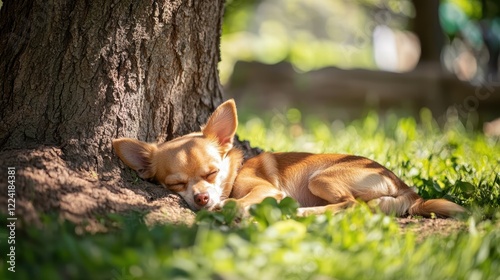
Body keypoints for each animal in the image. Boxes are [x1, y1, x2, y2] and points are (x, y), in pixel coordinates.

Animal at [112, 99, 464, 218]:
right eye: (176, 184)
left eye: (213, 173)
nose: (200, 198)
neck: (235, 172)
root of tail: (408, 190)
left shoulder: (265, 189)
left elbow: (240, 201)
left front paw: (231, 206)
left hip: (320, 178)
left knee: (349, 205)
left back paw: (303, 211)